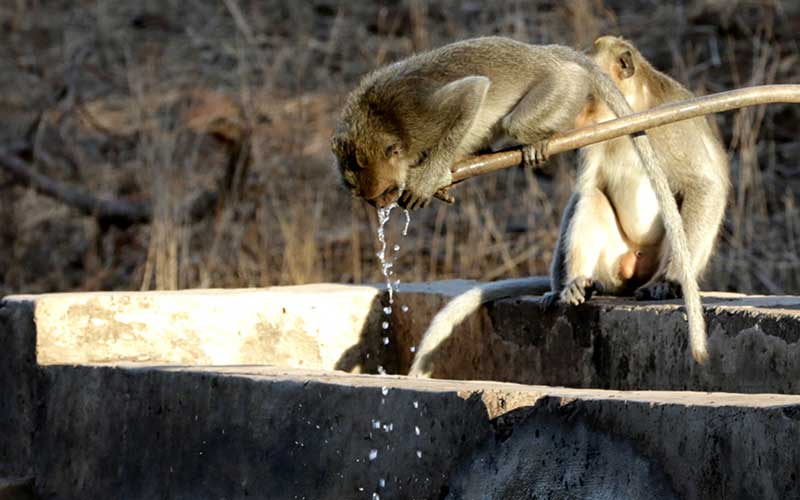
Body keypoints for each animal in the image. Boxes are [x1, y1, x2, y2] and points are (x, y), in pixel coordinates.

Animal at [410, 36, 720, 376]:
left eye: (588, 92)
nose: (572, 113)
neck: (631, 112)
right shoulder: (593, 136)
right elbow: (584, 191)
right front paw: (558, 287)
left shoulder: (673, 124)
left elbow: (702, 186)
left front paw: (669, 281)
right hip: (612, 263)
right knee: (592, 199)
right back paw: (576, 284)